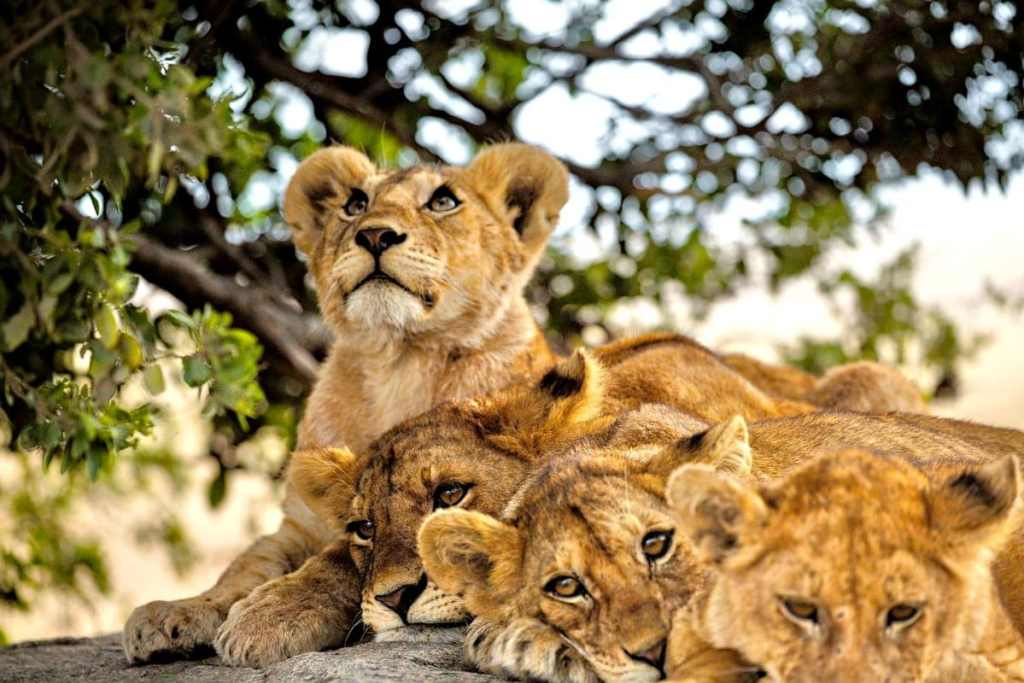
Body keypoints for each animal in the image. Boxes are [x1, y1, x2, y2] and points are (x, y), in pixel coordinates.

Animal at [123, 142, 568, 665]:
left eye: (442, 201)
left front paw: (269, 616)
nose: (374, 233)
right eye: (356, 204)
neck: (401, 364)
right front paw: (176, 613)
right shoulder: (300, 523)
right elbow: (248, 564)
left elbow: (337, 558)